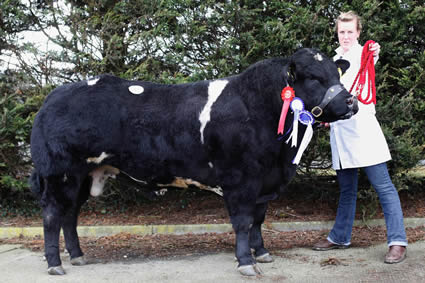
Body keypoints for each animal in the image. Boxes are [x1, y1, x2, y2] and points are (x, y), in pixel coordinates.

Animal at [28, 48, 356, 278]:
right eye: (313, 77)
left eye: (337, 75)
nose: (351, 102)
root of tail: (54, 96)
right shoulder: (240, 180)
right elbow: (243, 222)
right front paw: (246, 262)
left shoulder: (264, 182)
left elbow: (259, 220)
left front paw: (261, 252)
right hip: (60, 174)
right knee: (52, 216)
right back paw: (55, 264)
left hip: (82, 176)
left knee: (70, 216)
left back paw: (78, 255)